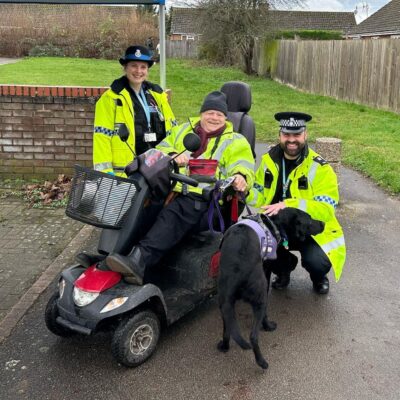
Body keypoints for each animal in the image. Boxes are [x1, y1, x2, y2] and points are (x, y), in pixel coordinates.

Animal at [217, 208, 324, 370]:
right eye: (310, 220)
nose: (323, 223)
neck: (274, 223)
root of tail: (234, 275)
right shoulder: (267, 271)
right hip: (259, 298)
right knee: (253, 336)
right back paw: (262, 359)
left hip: (225, 304)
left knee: (227, 327)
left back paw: (225, 346)